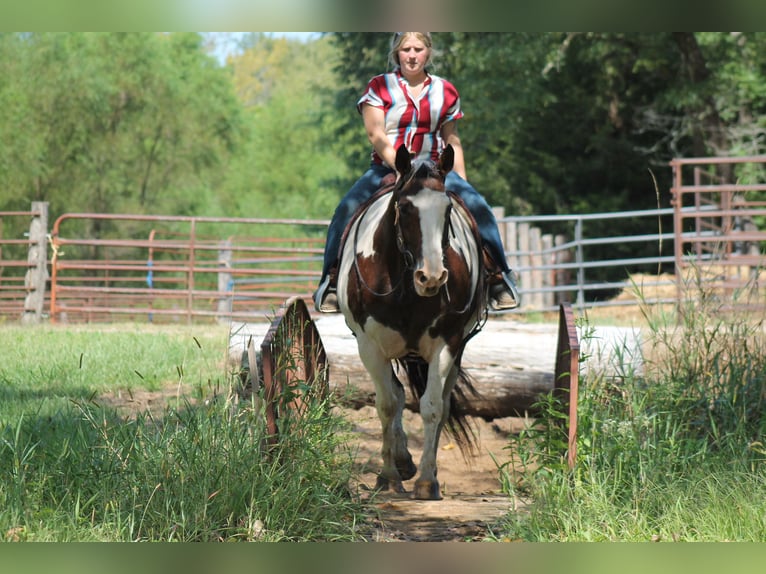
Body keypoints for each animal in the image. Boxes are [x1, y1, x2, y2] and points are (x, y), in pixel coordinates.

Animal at [340, 143, 488, 500]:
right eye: (405, 208)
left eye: (447, 209)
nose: (431, 277)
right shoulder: (369, 346)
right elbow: (387, 405)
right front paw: (388, 476)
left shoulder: (447, 344)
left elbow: (432, 406)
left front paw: (425, 481)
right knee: (395, 394)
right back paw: (402, 461)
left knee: (441, 403)